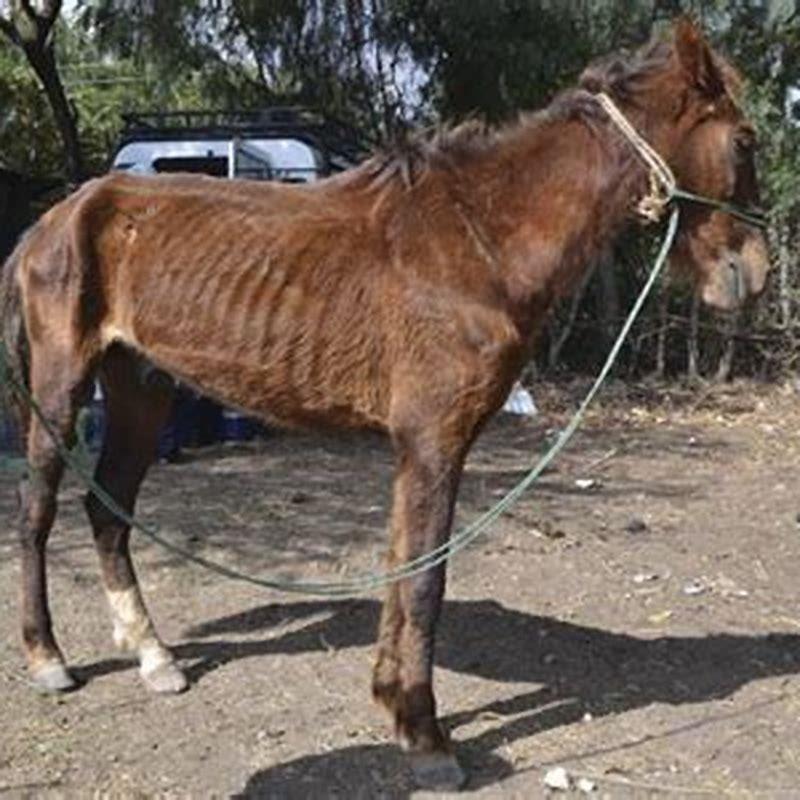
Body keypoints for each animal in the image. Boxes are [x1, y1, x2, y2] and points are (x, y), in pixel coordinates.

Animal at [0, 17, 769, 790]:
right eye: (744, 140)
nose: (755, 273)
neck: (480, 240)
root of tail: (52, 220)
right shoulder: (433, 442)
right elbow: (426, 581)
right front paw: (428, 738)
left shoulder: (417, 448)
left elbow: (404, 570)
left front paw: (395, 708)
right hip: (62, 390)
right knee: (39, 511)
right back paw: (49, 659)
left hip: (141, 389)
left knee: (108, 508)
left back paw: (155, 658)